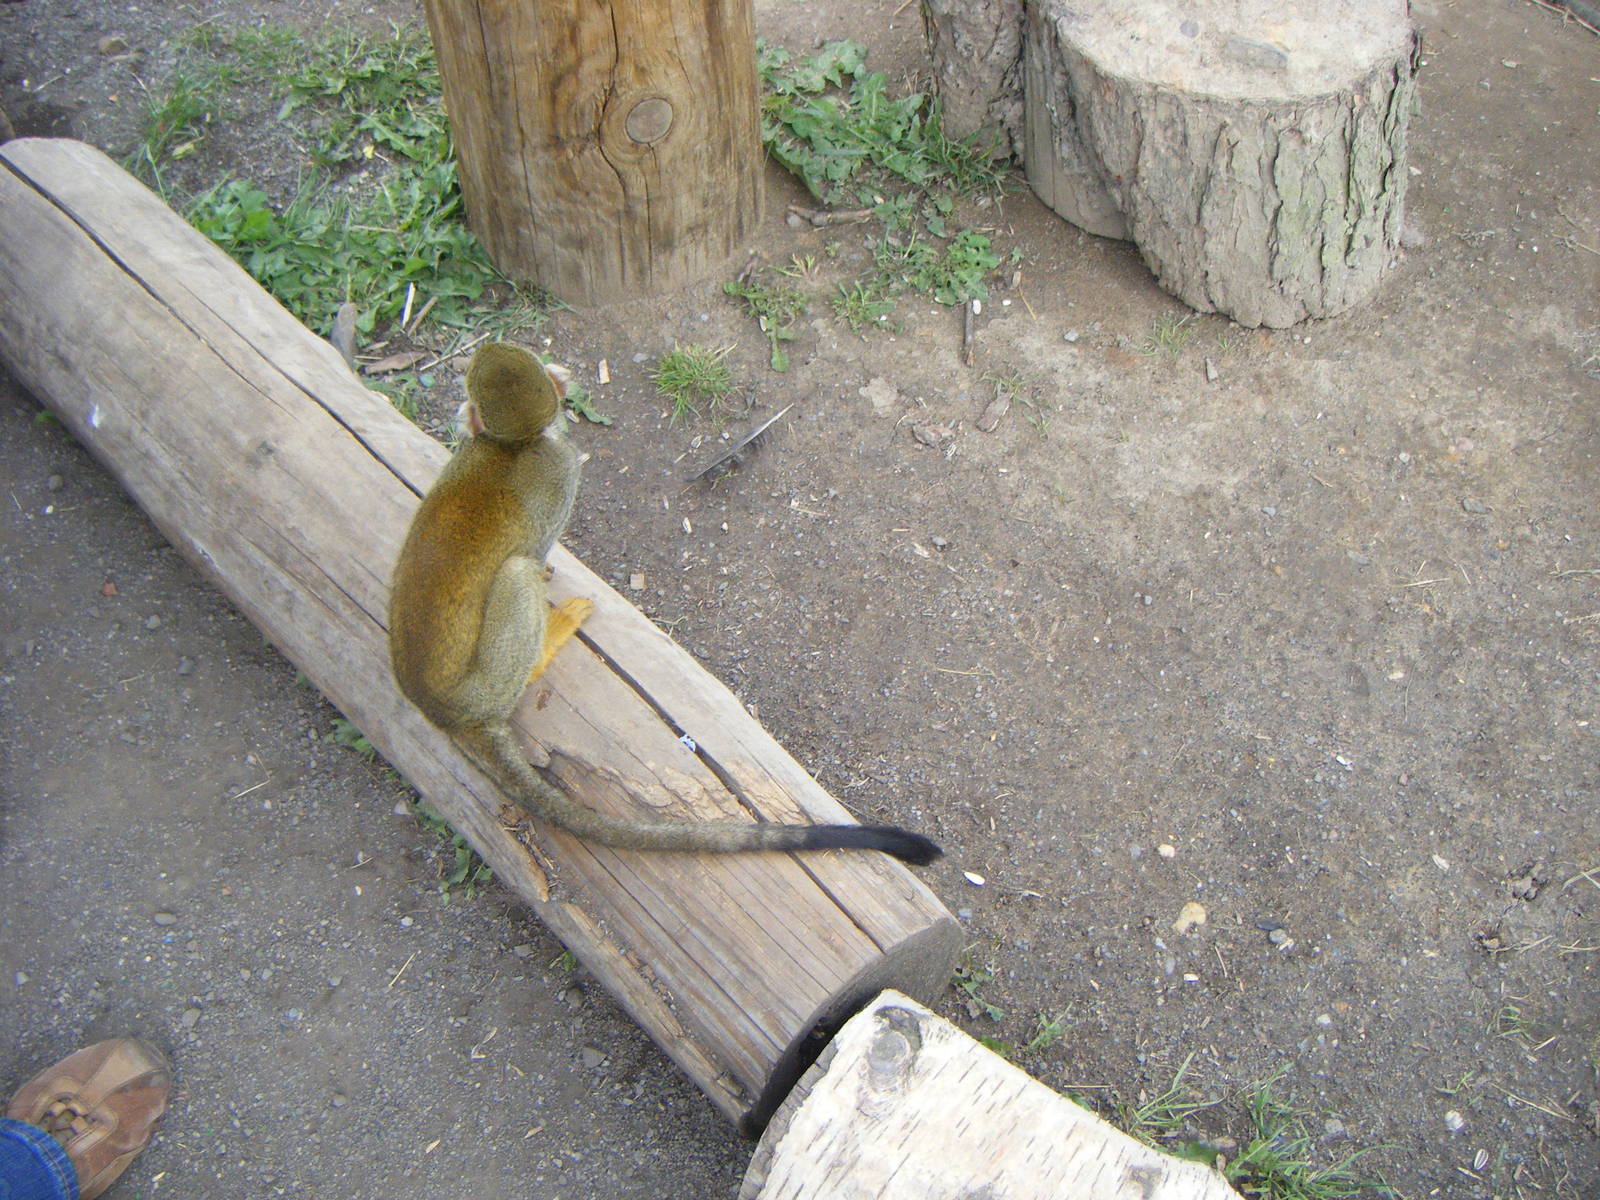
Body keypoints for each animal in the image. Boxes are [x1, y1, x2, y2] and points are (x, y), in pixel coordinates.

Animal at [389, 342, 941, 866]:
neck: (513, 444)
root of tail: (443, 713)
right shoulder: (561, 472)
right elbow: (539, 546)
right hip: (489, 686)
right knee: (517, 570)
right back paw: (546, 643)